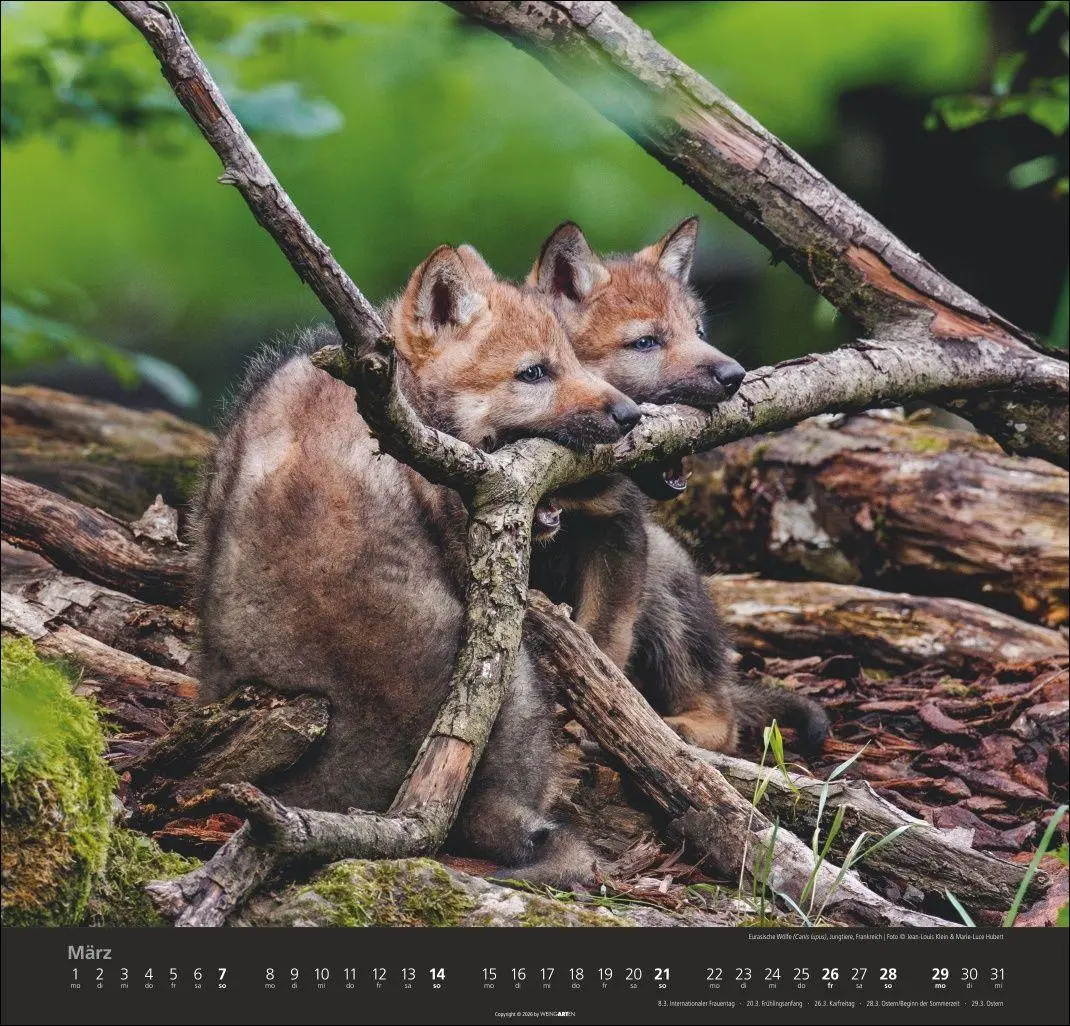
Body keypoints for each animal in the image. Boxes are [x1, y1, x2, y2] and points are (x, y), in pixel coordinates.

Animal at [528, 219, 829, 754]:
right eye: (646, 342)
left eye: (700, 331)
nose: (735, 376)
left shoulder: (620, 535)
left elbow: (601, 642)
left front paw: (595, 717)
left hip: (667, 571)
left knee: (723, 718)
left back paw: (676, 731)